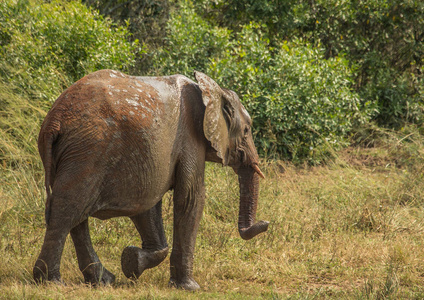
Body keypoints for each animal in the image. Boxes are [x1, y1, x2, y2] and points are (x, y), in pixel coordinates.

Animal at [34, 69, 270, 290]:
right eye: (247, 130)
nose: (265, 223)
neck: (212, 91)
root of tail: (54, 121)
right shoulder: (190, 138)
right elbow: (191, 198)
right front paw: (189, 288)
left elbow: (148, 205)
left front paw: (131, 261)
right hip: (88, 151)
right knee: (66, 212)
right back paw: (51, 282)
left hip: (73, 154)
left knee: (75, 215)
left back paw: (102, 280)